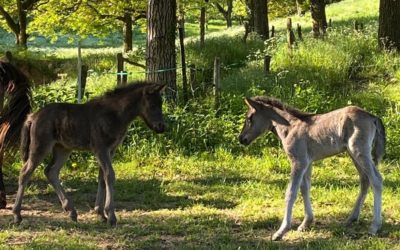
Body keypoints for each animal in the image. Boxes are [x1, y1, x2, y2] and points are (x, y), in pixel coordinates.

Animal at [12, 81, 166, 226]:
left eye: (161, 103)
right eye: (153, 105)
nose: (161, 127)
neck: (114, 114)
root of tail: (33, 116)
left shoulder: (110, 150)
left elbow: (102, 177)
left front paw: (101, 213)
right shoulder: (100, 149)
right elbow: (110, 175)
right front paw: (111, 216)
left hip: (62, 149)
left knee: (51, 171)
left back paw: (71, 211)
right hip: (40, 147)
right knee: (25, 172)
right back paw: (17, 215)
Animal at [239, 96, 386, 240]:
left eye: (249, 118)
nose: (241, 139)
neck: (290, 127)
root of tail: (372, 117)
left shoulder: (299, 161)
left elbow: (291, 192)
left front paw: (281, 231)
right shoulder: (307, 162)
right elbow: (305, 188)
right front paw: (306, 223)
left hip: (359, 151)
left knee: (376, 180)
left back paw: (374, 227)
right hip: (353, 154)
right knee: (365, 180)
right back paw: (352, 218)